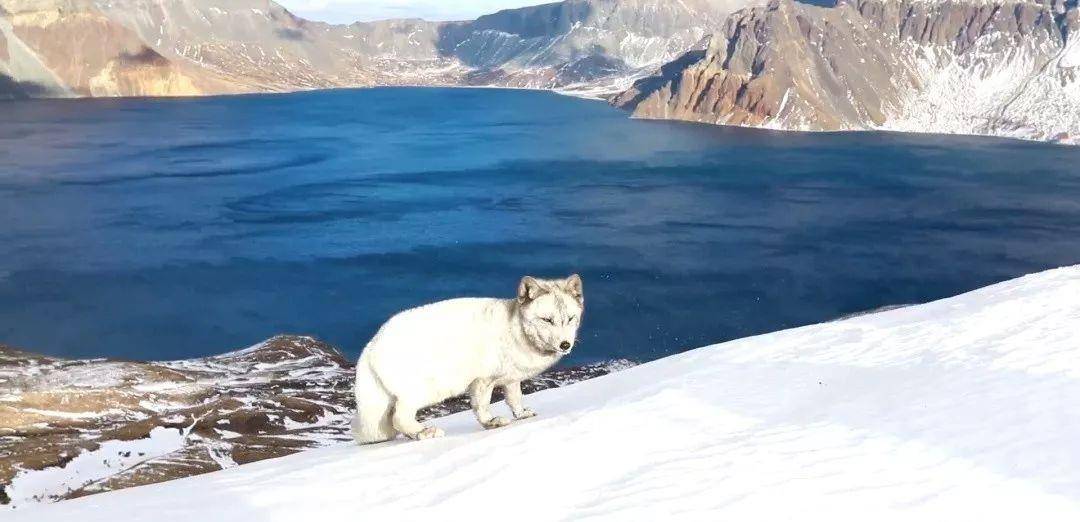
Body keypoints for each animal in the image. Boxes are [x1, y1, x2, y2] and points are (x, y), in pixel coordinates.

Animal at [349, 275, 583, 443]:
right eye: (547, 320)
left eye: (571, 318)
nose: (565, 345)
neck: (515, 330)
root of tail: (370, 345)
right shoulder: (483, 380)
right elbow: (481, 407)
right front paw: (491, 423)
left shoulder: (510, 379)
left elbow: (514, 399)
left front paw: (522, 414)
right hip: (423, 392)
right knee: (398, 418)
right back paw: (425, 432)